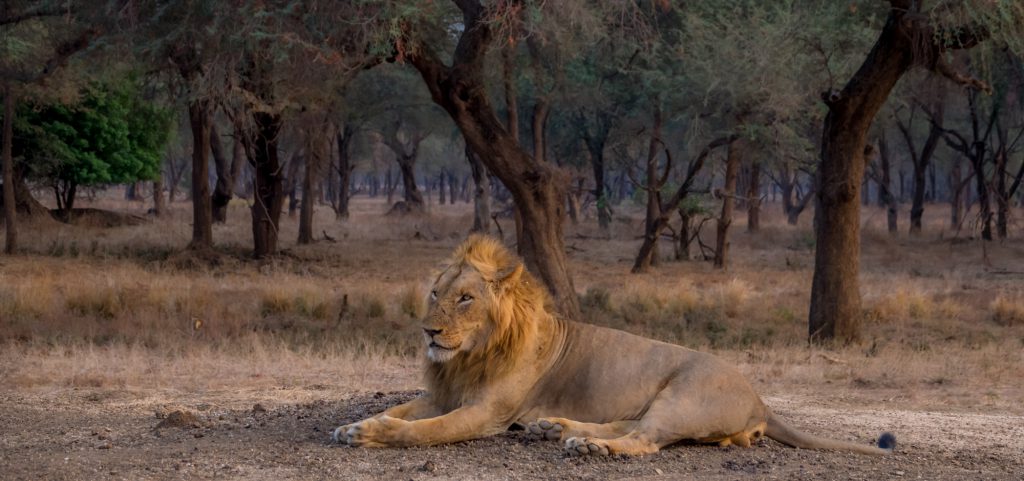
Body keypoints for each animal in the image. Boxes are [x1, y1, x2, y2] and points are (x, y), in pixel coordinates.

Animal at [331, 234, 892, 456]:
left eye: (466, 298)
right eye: (435, 292)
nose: (428, 331)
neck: (467, 359)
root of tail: (761, 399)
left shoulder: (486, 411)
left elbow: (425, 430)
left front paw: (373, 434)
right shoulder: (442, 392)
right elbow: (404, 409)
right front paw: (355, 424)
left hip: (683, 396)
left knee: (645, 439)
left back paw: (589, 446)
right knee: (634, 425)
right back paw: (555, 429)